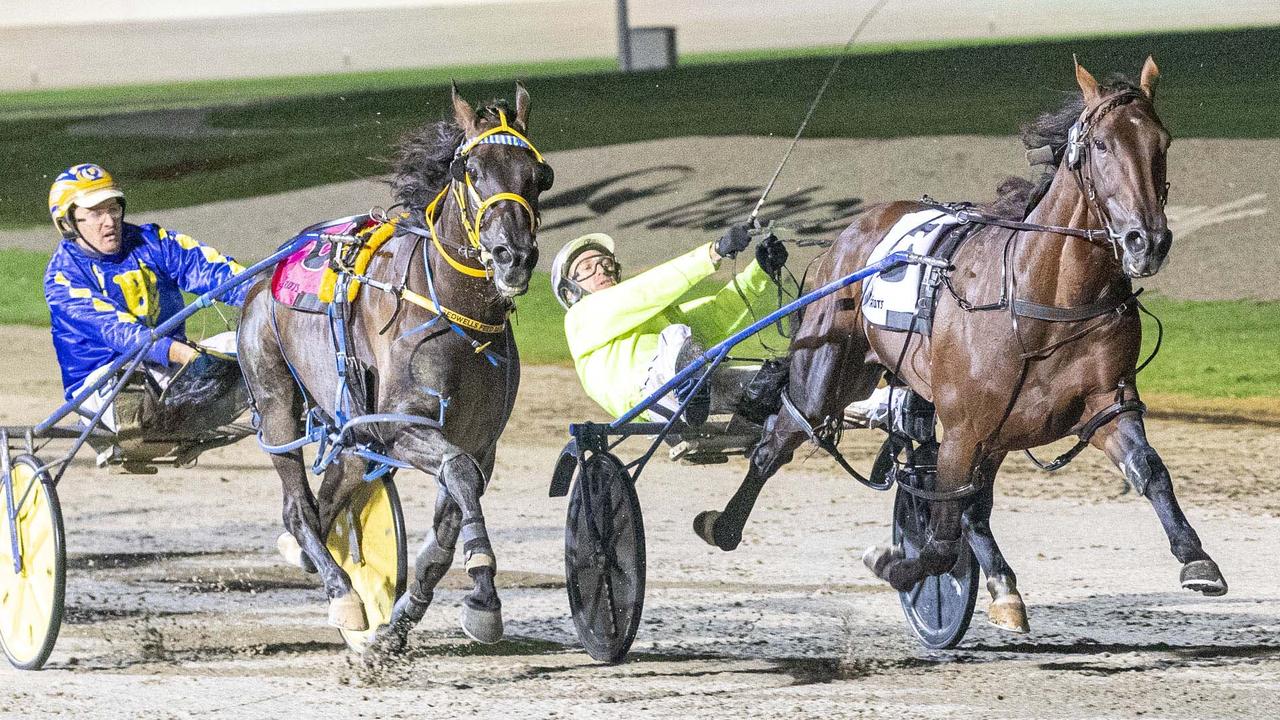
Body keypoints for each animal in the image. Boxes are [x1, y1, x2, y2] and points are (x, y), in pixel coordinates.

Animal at [701, 56, 1228, 627]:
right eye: (1104, 145)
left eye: (1162, 142)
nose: (1146, 241)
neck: (1040, 297)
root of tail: (846, 235)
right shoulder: (963, 425)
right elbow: (937, 539)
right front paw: (894, 565)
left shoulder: (1103, 404)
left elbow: (1148, 469)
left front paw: (1197, 559)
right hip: (830, 370)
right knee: (779, 439)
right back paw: (723, 525)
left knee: (972, 509)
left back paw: (1002, 586)